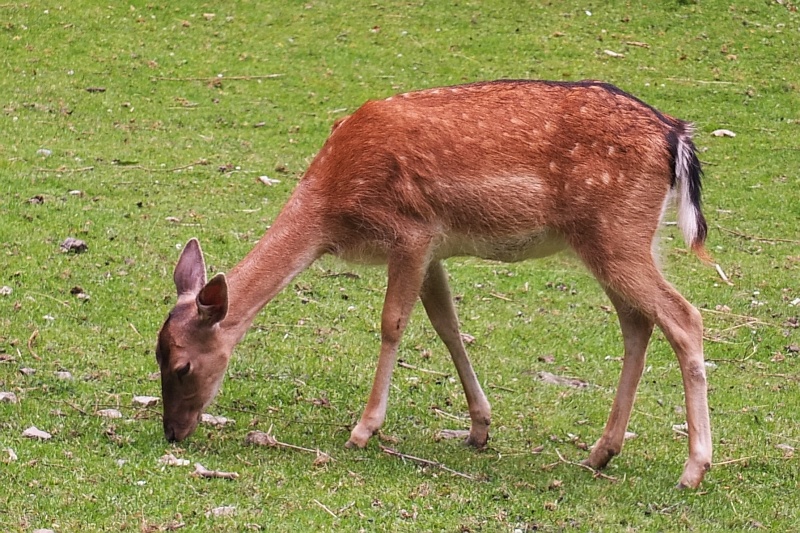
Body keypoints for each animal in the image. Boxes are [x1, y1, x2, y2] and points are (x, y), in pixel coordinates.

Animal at [156, 78, 712, 486]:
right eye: (155, 354)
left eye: (182, 366)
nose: (172, 432)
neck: (331, 210)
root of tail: (677, 137)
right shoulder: (433, 249)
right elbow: (447, 324)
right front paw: (479, 428)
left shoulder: (410, 232)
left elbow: (393, 323)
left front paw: (363, 430)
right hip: (624, 240)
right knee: (638, 323)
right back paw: (600, 452)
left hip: (616, 232)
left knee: (684, 316)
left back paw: (693, 469)